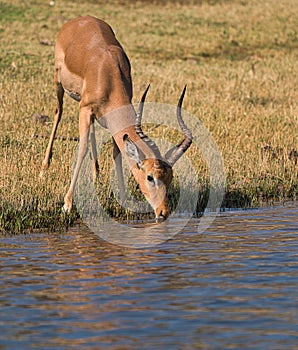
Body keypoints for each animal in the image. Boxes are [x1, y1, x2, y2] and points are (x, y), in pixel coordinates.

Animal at [39, 16, 193, 221]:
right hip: (59, 84)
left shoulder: (111, 118)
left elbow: (117, 153)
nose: (163, 212)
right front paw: (67, 204)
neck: (108, 73)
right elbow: (81, 149)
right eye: (150, 177)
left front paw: (123, 199)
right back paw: (43, 170)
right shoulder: (84, 109)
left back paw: (96, 175)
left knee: (92, 131)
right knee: (58, 112)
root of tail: (79, 19)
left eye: (170, 178)